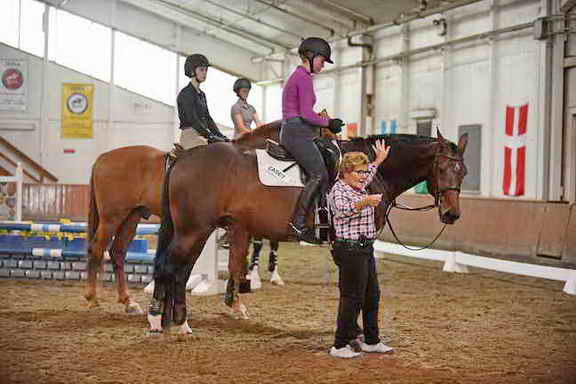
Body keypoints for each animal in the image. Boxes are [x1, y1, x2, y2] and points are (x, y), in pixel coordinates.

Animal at [84, 121, 284, 314]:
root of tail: (103, 157)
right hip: (111, 218)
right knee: (97, 249)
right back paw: (92, 299)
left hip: (131, 217)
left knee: (117, 252)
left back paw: (128, 302)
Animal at [147, 130, 468, 332]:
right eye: (441, 169)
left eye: (462, 172)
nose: (452, 214)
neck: (371, 173)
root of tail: (184, 157)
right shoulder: (352, 240)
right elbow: (356, 285)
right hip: (192, 231)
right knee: (167, 267)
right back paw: (156, 320)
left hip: (197, 232)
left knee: (181, 273)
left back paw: (179, 322)